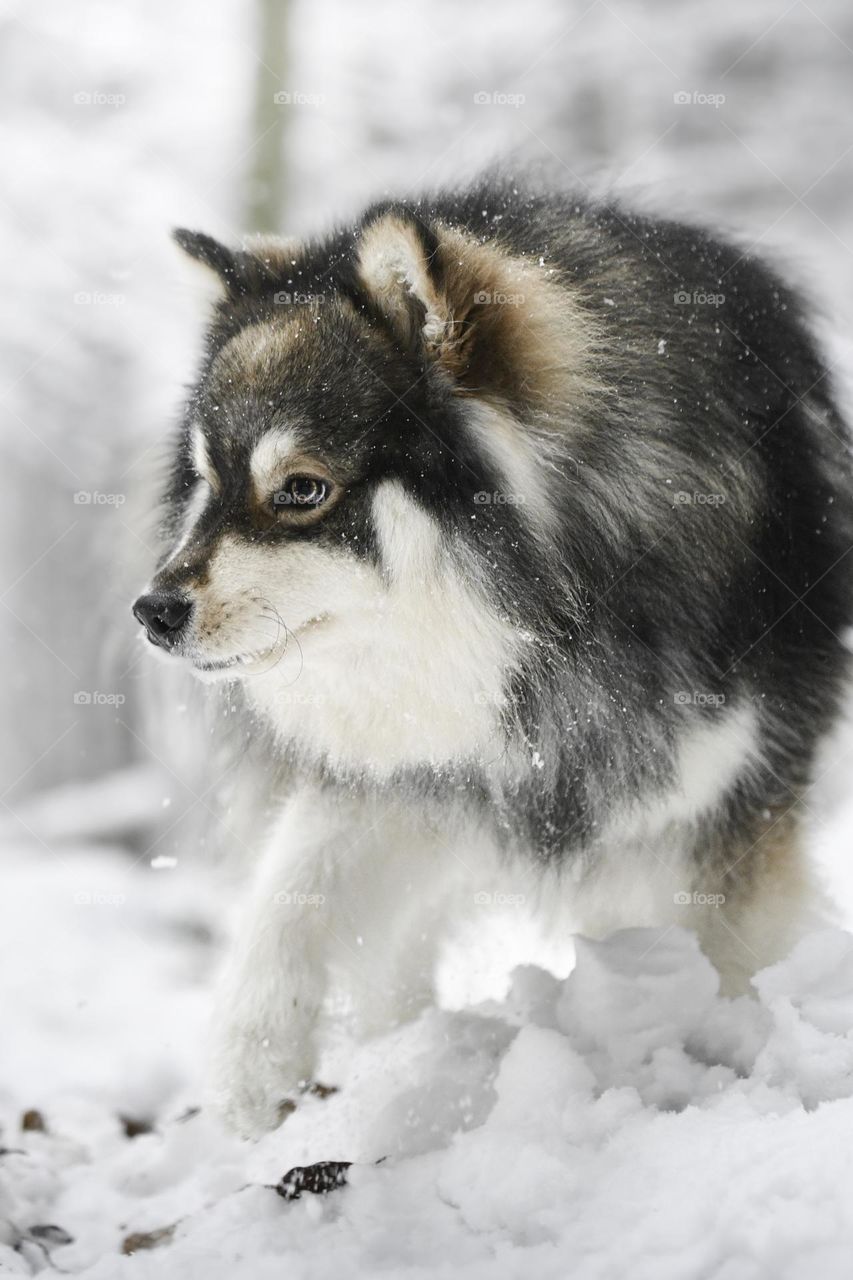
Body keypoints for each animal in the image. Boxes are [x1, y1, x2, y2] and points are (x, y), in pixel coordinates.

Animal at [133, 177, 850, 1131]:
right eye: (208, 485)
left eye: (301, 489)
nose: (153, 611)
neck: (545, 621)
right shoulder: (419, 769)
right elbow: (288, 893)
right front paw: (252, 1074)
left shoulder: (731, 805)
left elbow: (730, 959)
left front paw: (728, 1067)